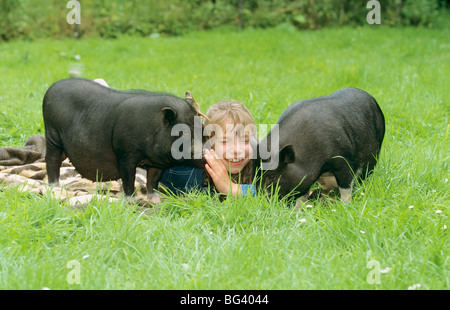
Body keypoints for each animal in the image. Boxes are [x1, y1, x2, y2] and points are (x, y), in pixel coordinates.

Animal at [42, 78, 204, 202]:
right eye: (184, 133)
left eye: (202, 130)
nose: (204, 154)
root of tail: (51, 88)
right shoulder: (125, 153)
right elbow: (128, 178)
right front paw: (130, 201)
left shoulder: (157, 163)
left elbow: (153, 180)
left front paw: (155, 201)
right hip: (52, 133)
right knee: (51, 160)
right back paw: (54, 186)